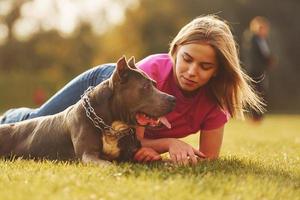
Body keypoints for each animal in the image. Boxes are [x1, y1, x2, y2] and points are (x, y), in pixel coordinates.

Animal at [0, 55, 176, 164]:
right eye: (146, 87)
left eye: (154, 84)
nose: (173, 99)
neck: (111, 125)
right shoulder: (88, 155)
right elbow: (108, 165)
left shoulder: (131, 153)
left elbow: (162, 161)